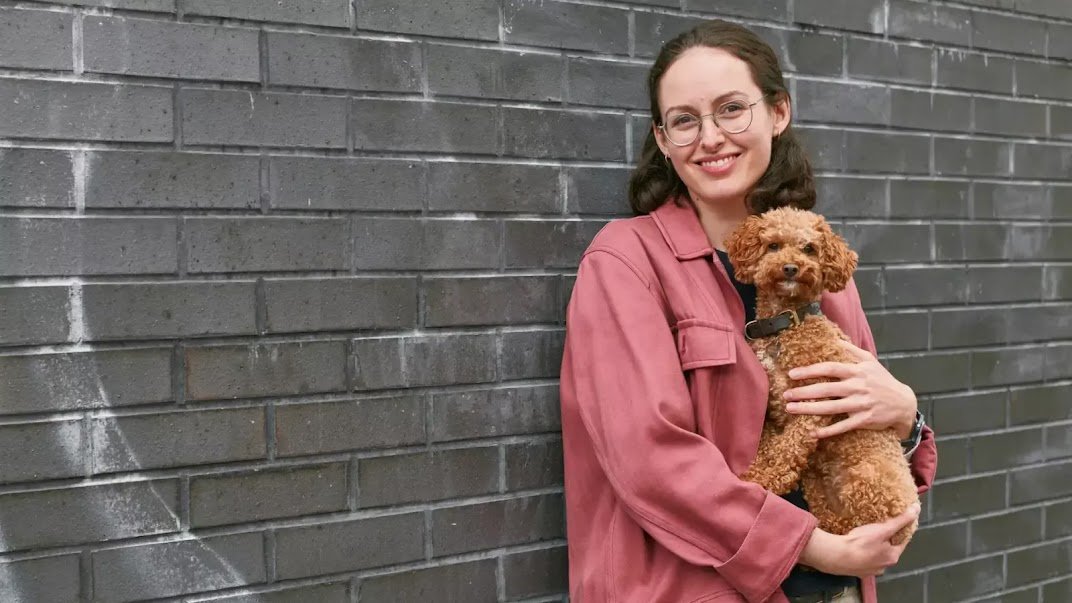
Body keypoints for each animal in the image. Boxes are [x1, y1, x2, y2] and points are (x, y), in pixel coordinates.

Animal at [728, 206, 921, 545]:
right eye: (773, 245)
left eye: (809, 249)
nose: (791, 268)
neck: (787, 323)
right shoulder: (774, 407)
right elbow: (772, 443)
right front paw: (761, 468)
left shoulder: (815, 398)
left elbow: (788, 448)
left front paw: (762, 479)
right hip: (819, 481)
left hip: (866, 481)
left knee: (860, 525)